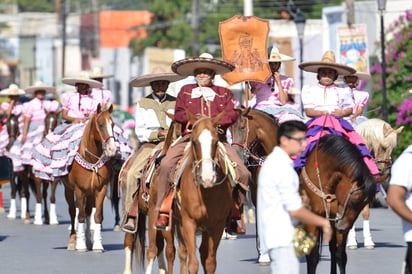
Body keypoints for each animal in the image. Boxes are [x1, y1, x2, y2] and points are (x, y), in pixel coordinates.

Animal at [64, 105, 116, 253]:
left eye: (113, 124)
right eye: (101, 124)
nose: (112, 149)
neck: (91, 161)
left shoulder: (100, 189)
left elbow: (97, 216)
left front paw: (97, 245)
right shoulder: (79, 190)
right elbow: (80, 215)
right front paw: (80, 245)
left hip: (90, 192)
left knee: (87, 212)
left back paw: (88, 240)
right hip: (69, 190)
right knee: (73, 212)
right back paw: (73, 240)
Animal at [173, 112, 233, 274]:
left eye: (216, 142)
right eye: (194, 142)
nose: (207, 178)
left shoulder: (217, 225)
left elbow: (210, 262)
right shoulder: (188, 223)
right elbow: (192, 264)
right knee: (175, 252)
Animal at [300, 134, 376, 274]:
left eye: (364, 205)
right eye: (354, 200)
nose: (343, 227)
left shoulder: (336, 219)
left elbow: (340, 254)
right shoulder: (312, 220)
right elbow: (312, 256)